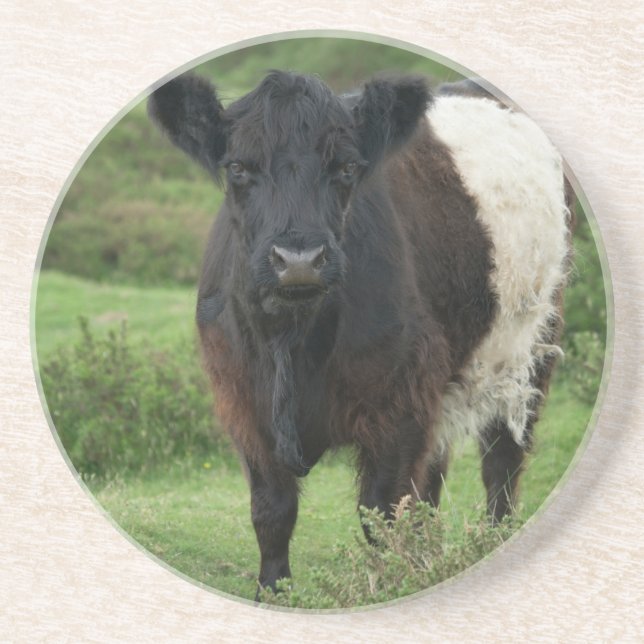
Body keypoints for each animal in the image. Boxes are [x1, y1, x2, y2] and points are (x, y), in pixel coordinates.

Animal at [148, 69, 571, 598]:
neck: (293, 341)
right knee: (434, 478)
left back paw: (488, 543)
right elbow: (272, 510)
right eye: (238, 168)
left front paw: (390, 587)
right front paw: (275, 593)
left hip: (529, 349)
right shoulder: (243, 402)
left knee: (503, 461)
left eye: (347, 167)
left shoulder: (400, 402)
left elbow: (382, 513)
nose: (299, 260)